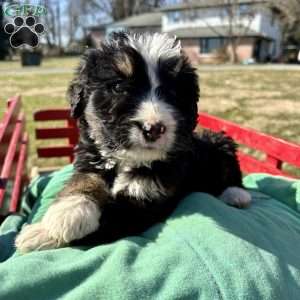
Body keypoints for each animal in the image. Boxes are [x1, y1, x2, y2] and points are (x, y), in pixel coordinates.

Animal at [16, 31, 251, 252]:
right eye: (118, 87)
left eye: (173, 93)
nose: (154, 128)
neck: (127, 160)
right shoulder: (92, 159)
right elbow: (84, 179)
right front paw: (69, 210)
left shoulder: (146, 200)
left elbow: (107, 221)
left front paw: (40, 234)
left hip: (220, 141)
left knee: (231, 170)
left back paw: (237, 195)